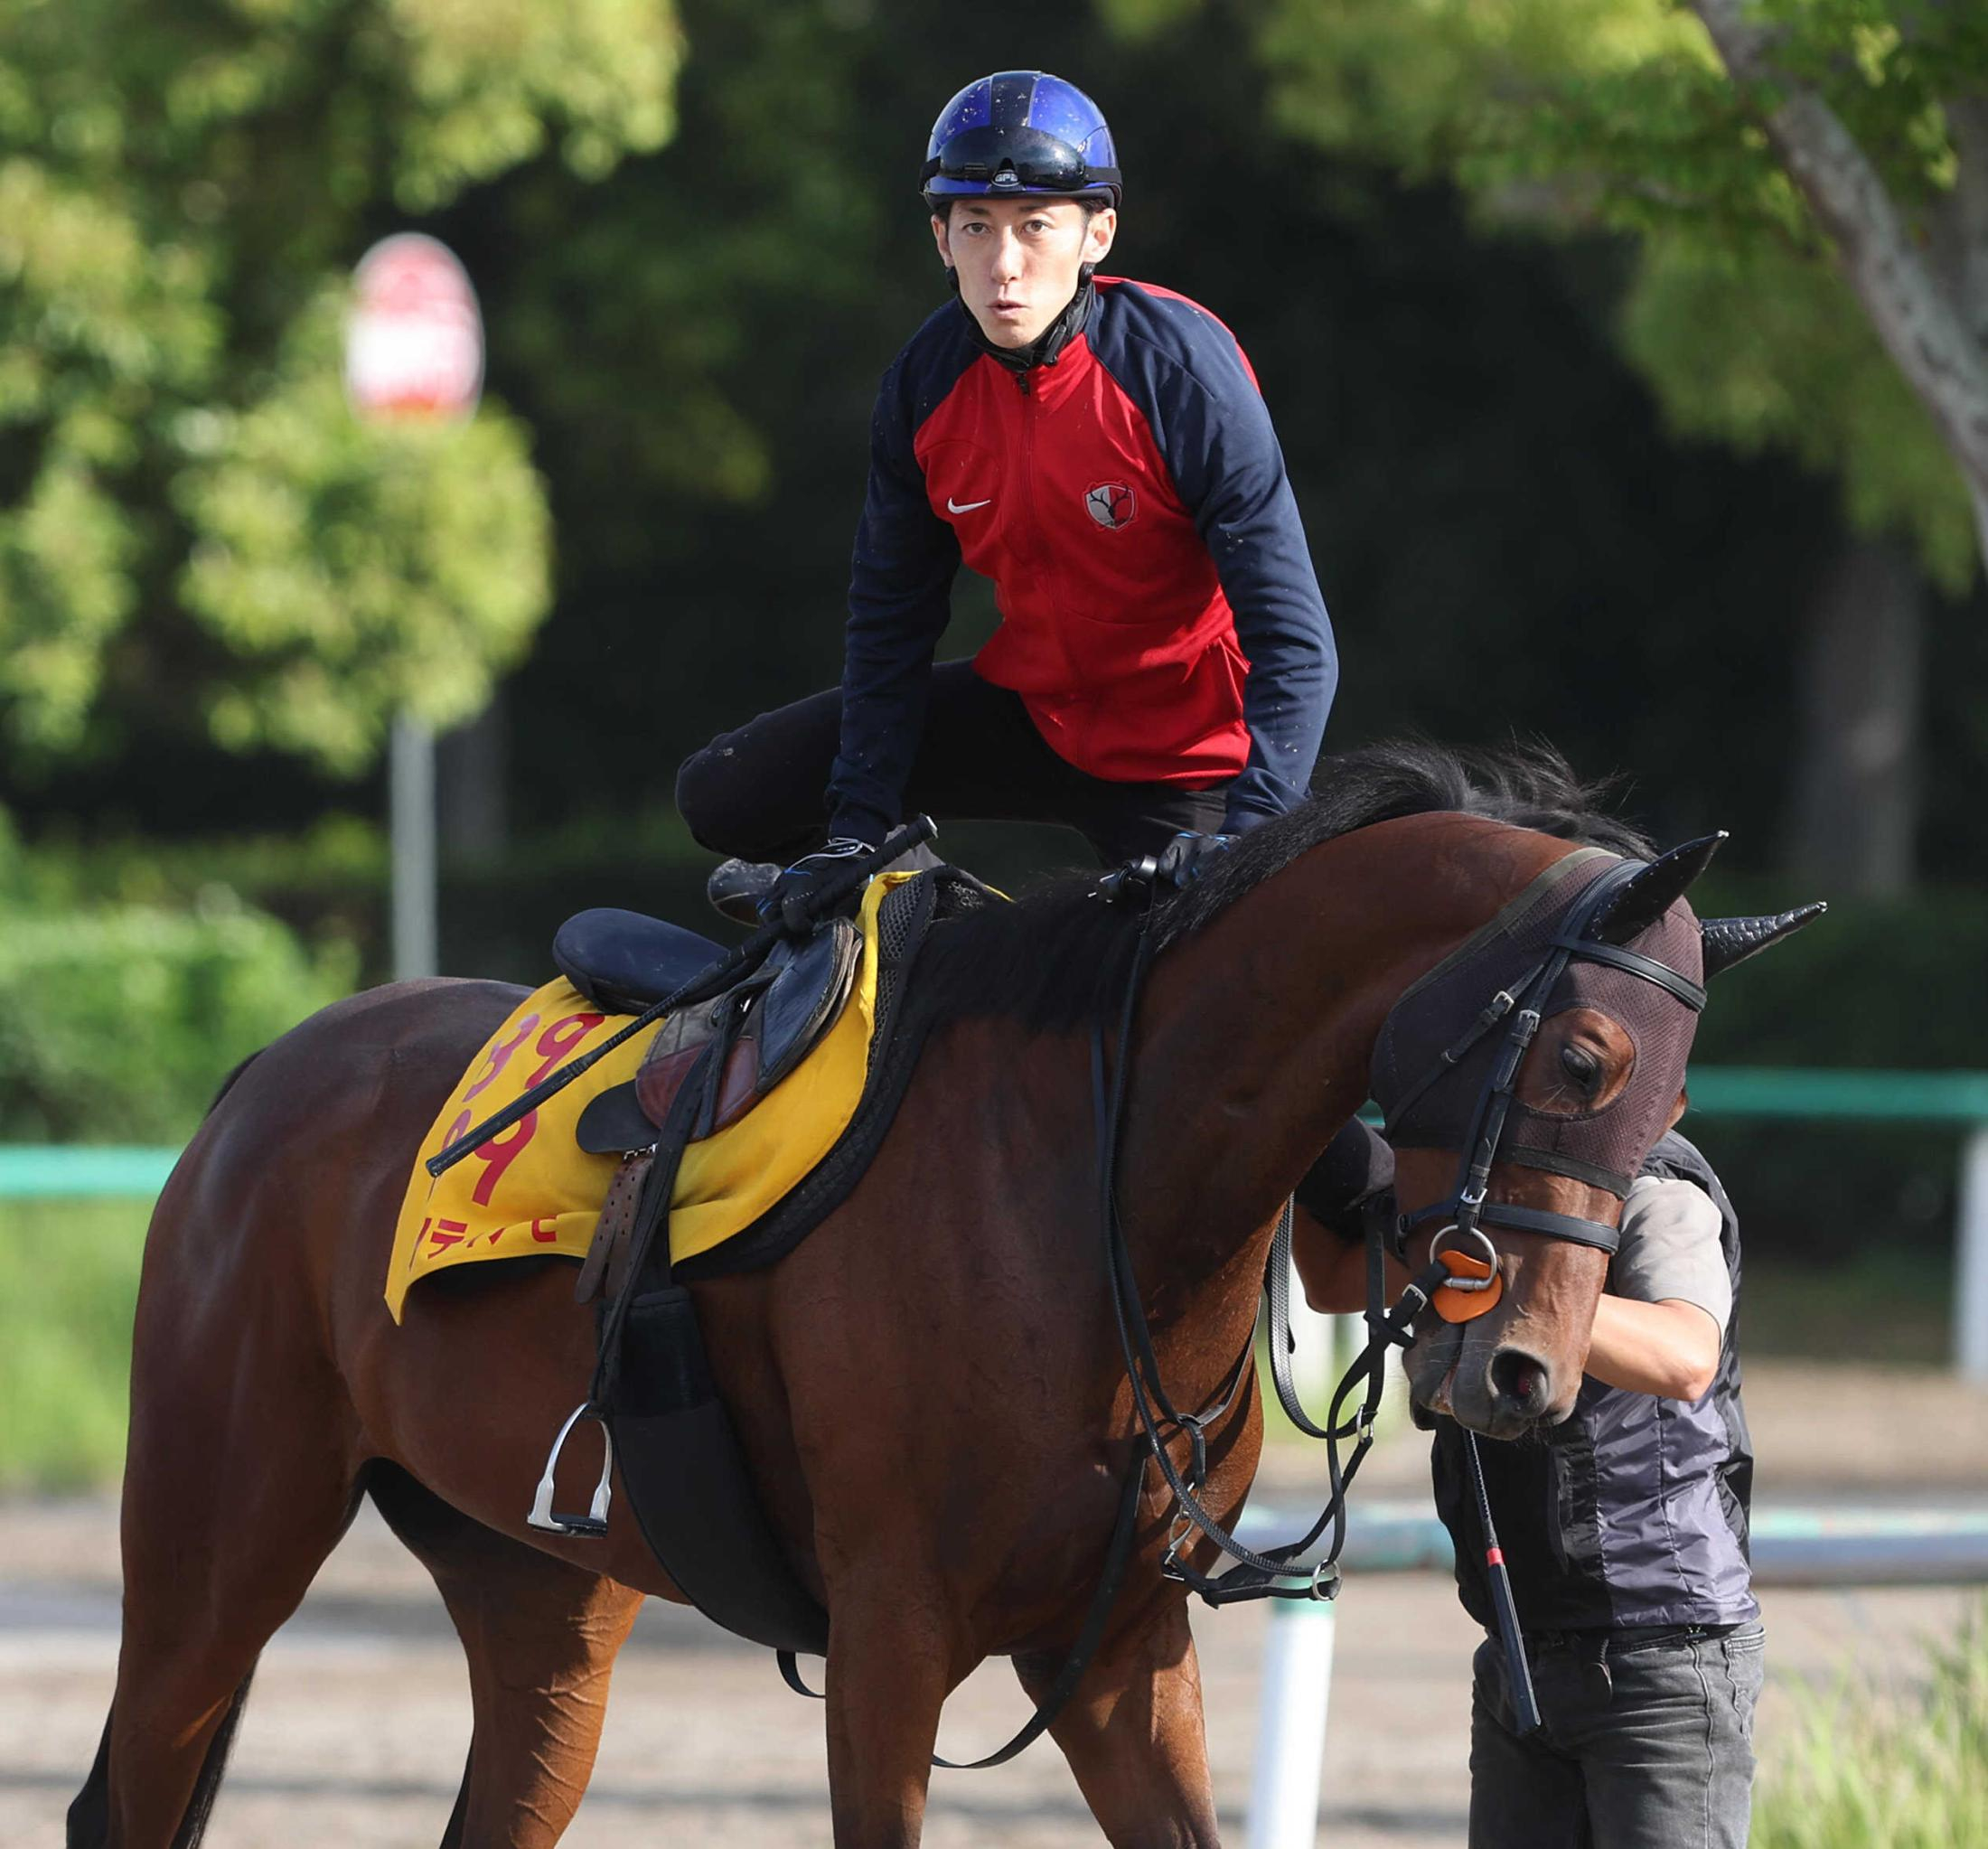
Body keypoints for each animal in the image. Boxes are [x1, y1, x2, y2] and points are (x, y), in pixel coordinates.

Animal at [70, 744, 1797, 1848]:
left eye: (1674, 1094)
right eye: (1589, 1060)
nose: (1522, 1372)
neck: (1092, 1189)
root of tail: (264, 1072)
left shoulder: (1118, 1648)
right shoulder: (891, 1643)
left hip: (539, 1588)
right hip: (220, 1544)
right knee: (125, 1795)